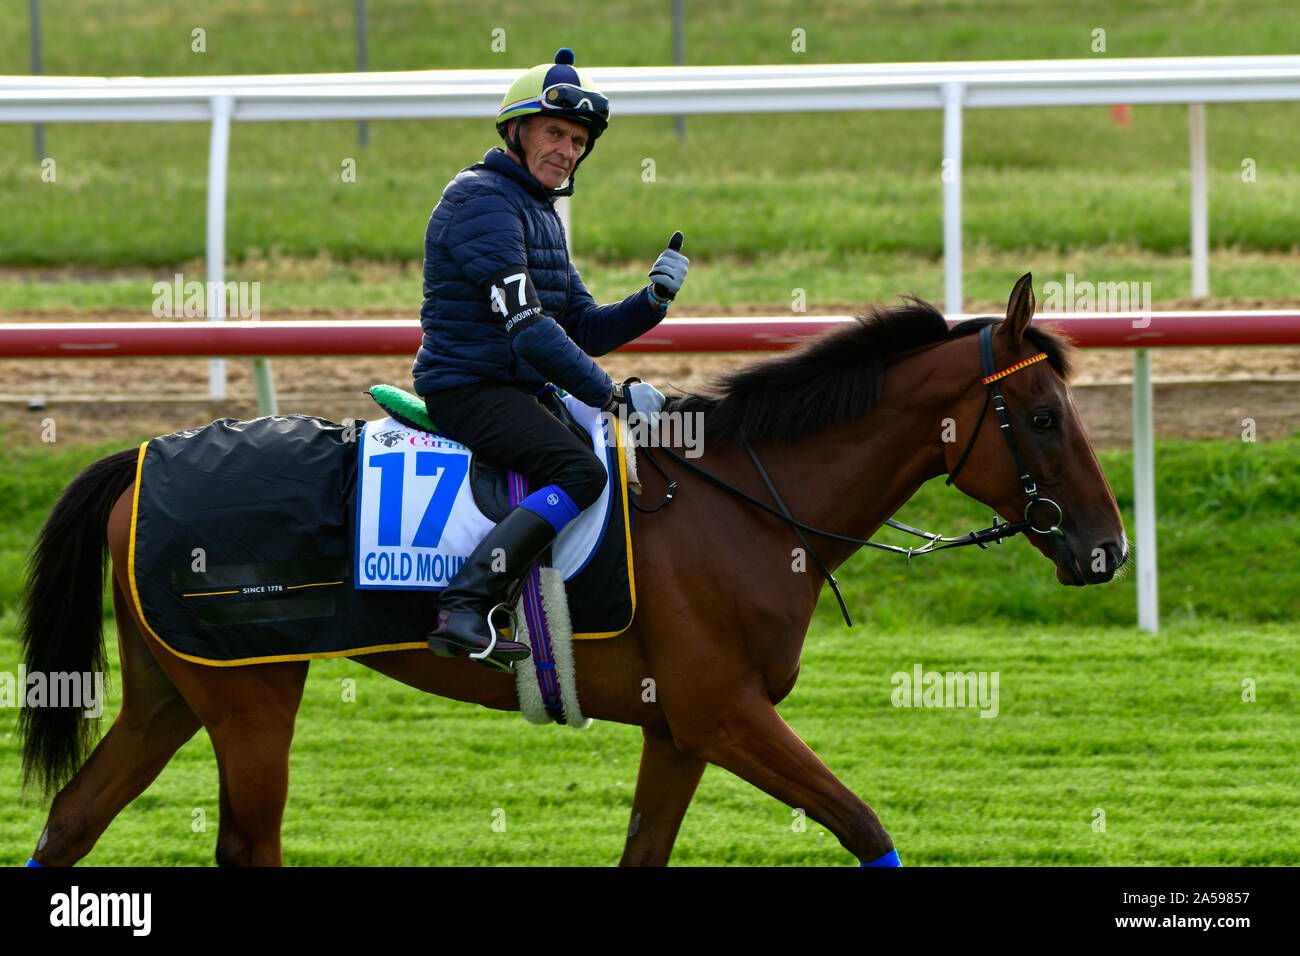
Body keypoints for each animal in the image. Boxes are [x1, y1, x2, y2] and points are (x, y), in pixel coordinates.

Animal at [12, 274, 1128, 868]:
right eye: (1041, 416)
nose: (1106, 547)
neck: (742, 501)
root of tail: (136, 459)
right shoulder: (725, 713)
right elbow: (861, 821)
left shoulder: (679, 729)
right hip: (251, 700)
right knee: (245, 844)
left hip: (175, 690)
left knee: (73, 819)